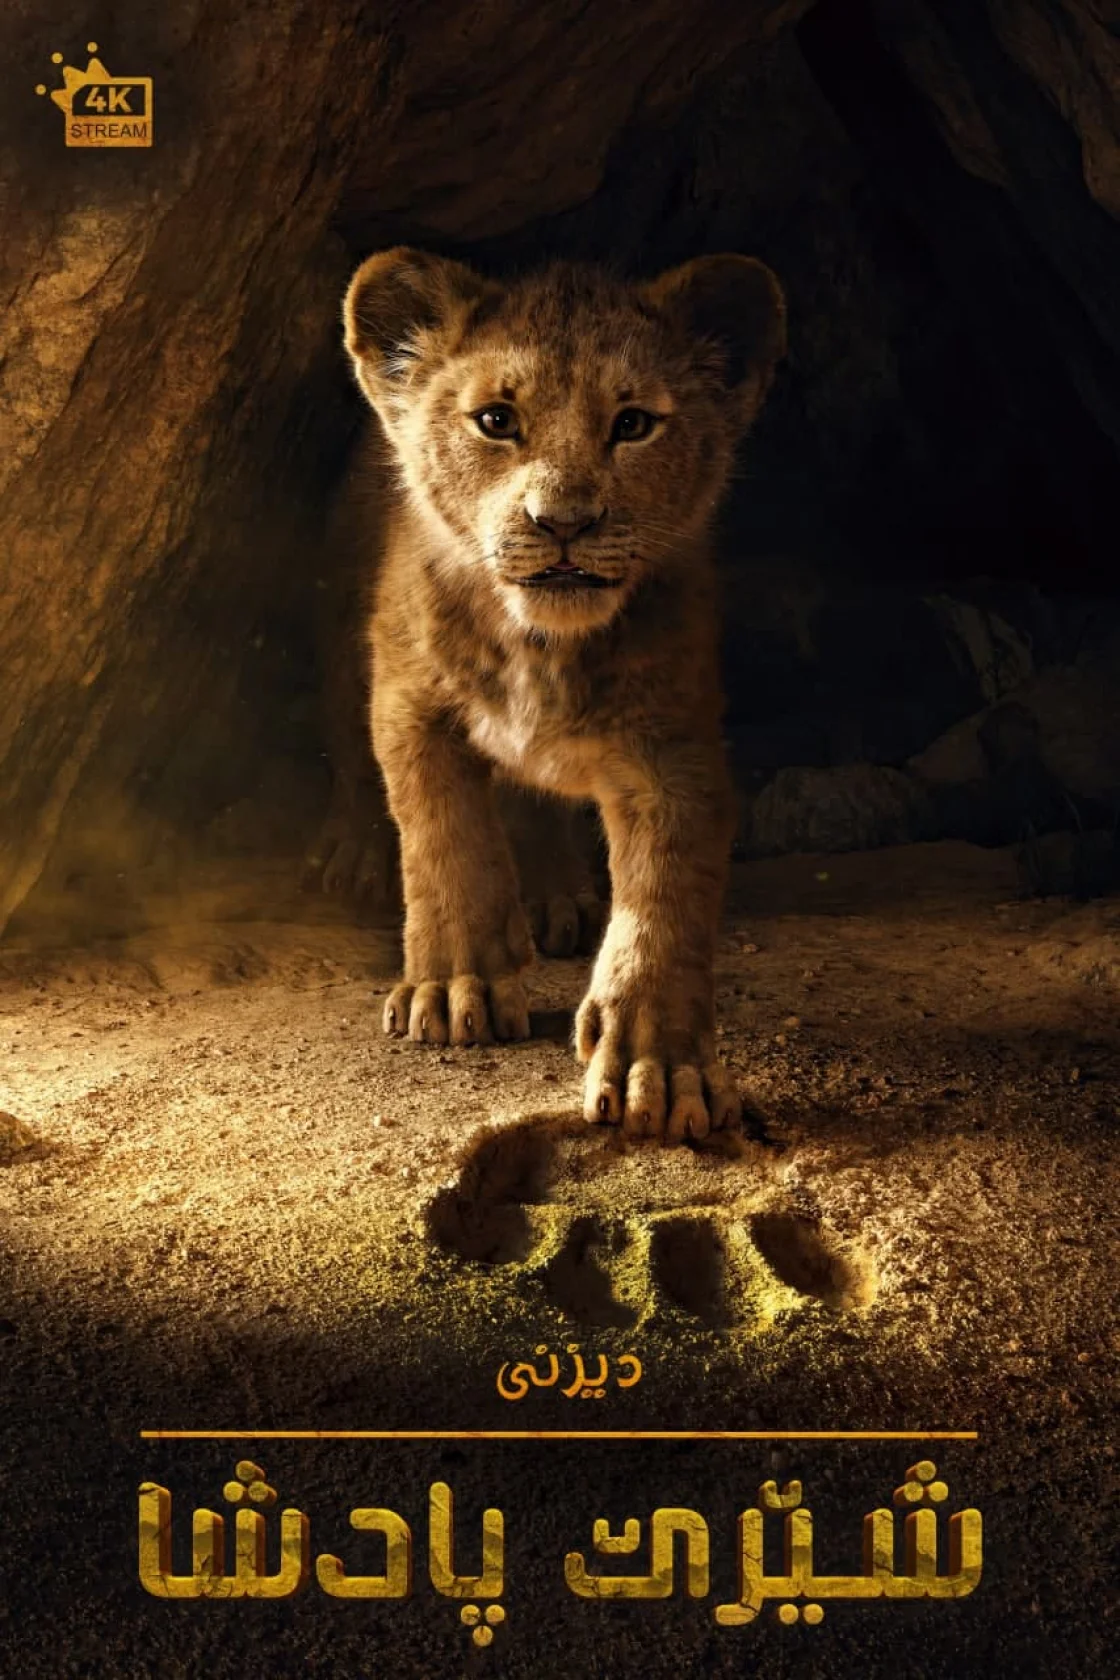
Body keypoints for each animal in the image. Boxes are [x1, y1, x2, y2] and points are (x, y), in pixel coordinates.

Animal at [339, 247, 786, 1143]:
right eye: (496, 420)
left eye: (634, 424)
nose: (564, 523)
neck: (540, 645)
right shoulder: (409, 705)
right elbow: (445, 842)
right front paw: (455, 988)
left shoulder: (673, 749)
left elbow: (664, 901)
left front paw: (660, 1067)